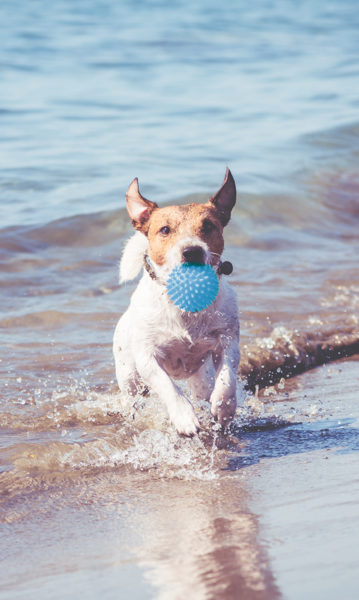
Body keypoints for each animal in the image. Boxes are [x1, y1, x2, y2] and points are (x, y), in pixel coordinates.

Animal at [114, 169, 240, 436]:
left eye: (208, 226)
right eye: (164, 230)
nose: (192, 251)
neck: (187, 295)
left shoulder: (228, 342)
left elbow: (227, 379)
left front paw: (223, 408)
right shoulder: (147, 357)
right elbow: (168, 387)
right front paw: (184, 417)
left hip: (202, 376)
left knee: (205, 388)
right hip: (129, 375)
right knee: (132, 397)